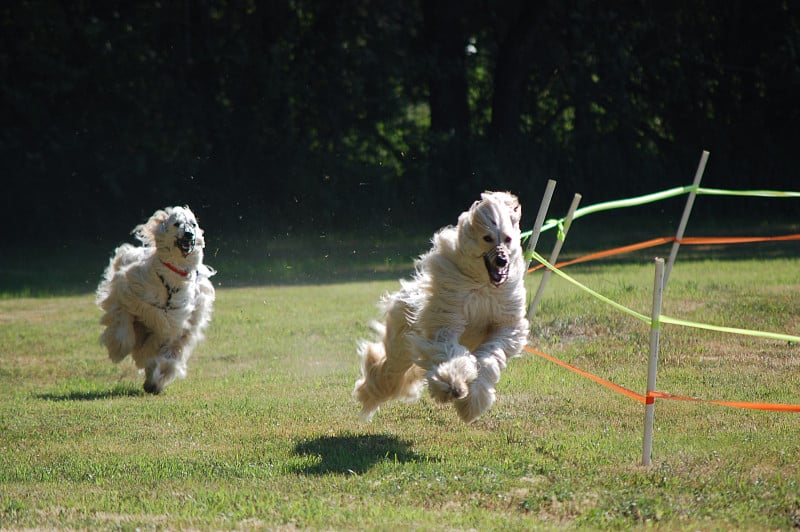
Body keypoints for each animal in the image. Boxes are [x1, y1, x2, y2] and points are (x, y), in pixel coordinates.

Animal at [95, 206, 216, 392]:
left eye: (193, 224)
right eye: (176, 224)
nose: (189, 235)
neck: (169, 282)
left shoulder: (172, 322)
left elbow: (163, 351)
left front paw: (156, 378)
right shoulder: (129, 292)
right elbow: (123, 321)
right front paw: (119, 348)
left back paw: (155, 380)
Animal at [354, 191, 532, 424]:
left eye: (508, 239)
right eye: (487, 238)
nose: (502, 261)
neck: (483, 284)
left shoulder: (505, 322)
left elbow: (490, 356)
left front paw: (473, 401)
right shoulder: (447, 317)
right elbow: (450, 348)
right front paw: (453, 384)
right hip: (401, 342)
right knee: (389, 370)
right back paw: (369, 392)